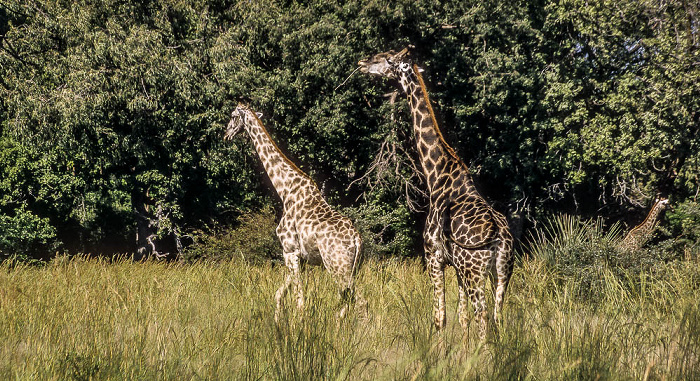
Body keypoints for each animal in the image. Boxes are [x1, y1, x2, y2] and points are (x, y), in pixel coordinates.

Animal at [226, 102, 366, 320]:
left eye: (233, 116)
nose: (226, 134)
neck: (285, 189)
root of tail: (356, 239)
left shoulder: (289, 250)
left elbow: (299, 300)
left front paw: (297, 325)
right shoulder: (299, 257)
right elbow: (279, 294)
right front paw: (278, 323)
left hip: (337, 265)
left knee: (358, 300)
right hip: (353, 267)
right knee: (347, 300)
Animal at [360, 49, 516, 336]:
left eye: (385, 57)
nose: (362, 63)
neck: (436, 173)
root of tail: (500, 237)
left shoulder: (433, 256)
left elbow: (439, 319)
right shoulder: (455, 266)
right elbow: (462, 318)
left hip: (475, 270)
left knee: (483, 317)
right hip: (501, 273)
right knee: (497, 316)